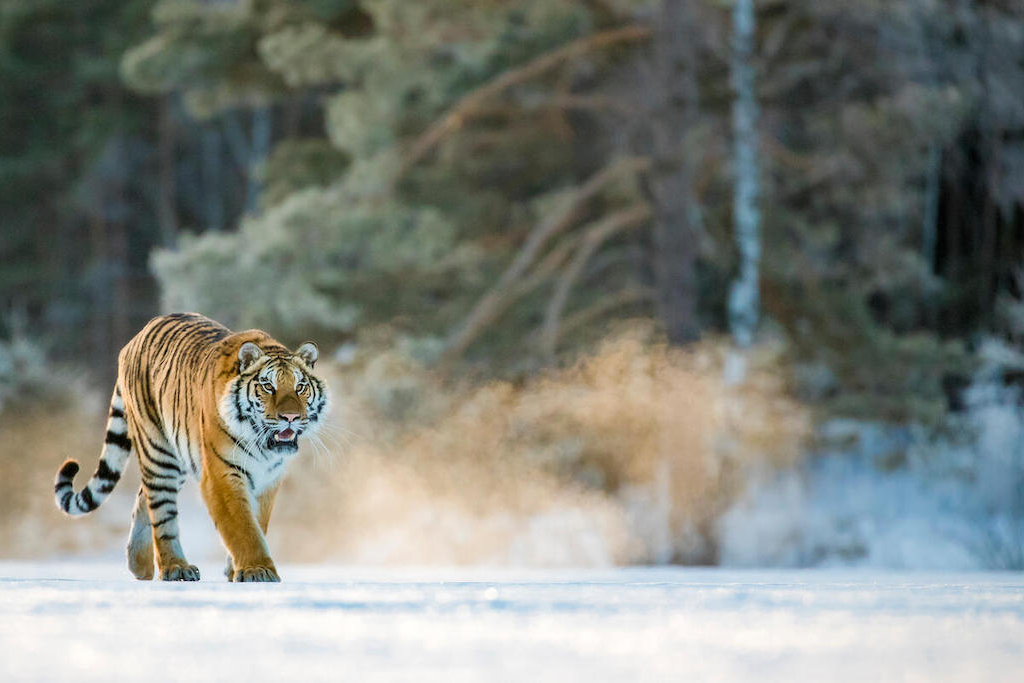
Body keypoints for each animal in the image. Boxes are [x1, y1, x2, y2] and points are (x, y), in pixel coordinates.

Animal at [51, 313, 327, 581]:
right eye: (268, 386)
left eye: (300, 387)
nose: (290, 417)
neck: (264, 447)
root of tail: (134, 339)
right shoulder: (221, 475)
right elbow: (243, 527)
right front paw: (258, 570)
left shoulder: (268, 479)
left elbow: (258, 523)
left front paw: (237, 570)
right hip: (159, 453)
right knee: (161, 515)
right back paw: (175, 567)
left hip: (180, 457)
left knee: (142, 497)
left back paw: (139, 565)